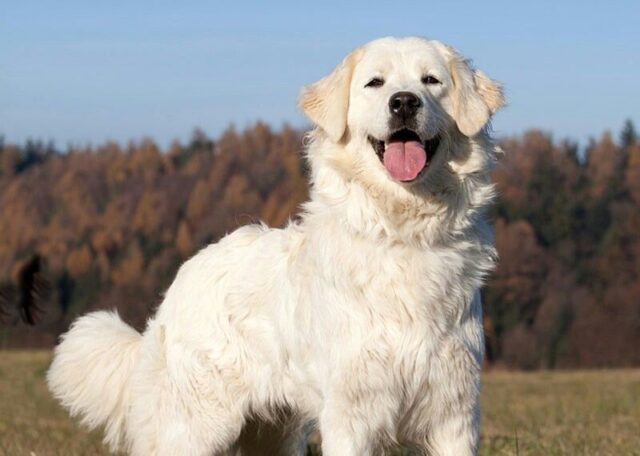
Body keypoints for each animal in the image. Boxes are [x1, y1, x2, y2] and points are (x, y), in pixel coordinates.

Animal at [46, 37, 504, 454]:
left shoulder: (455, 412)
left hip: (271, 432)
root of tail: (184, 275)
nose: (404, 102)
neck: (401, 231)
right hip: (195, 425)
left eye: (432, 81)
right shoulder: (351, 412)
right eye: (375, 83)